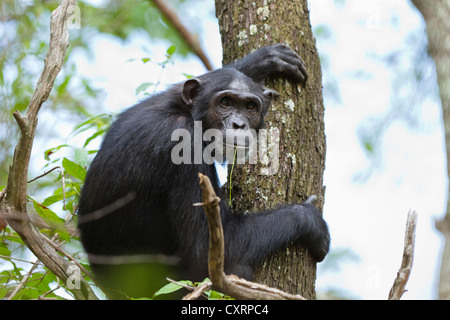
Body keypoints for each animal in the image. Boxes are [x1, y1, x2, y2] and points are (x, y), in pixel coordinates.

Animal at [78, 43, 330, 298]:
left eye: (250, 106)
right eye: (225, 103)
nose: (239, 124)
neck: (188, 114)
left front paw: (265, 60)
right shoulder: (184, 146)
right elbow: (207, 249)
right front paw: (310, 219)